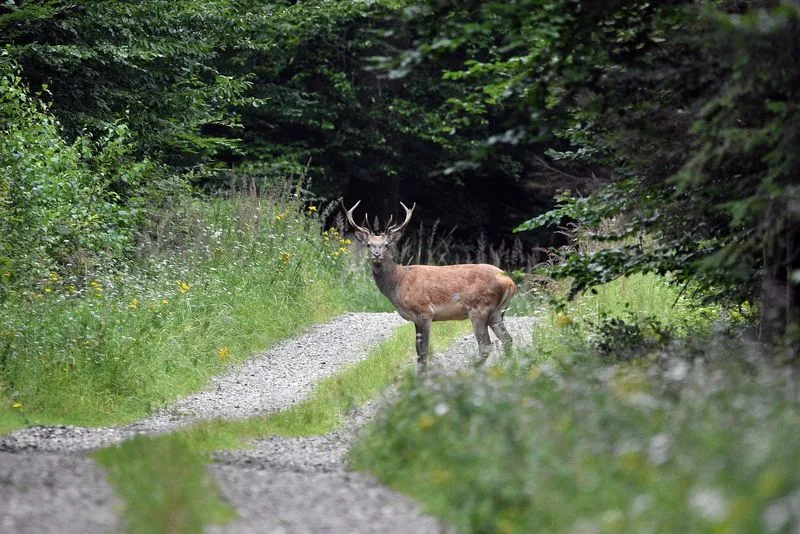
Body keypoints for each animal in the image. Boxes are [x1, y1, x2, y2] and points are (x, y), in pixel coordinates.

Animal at [344, 200, 517, 372]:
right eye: (368, 244)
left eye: (386, 244)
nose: (377, 254)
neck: (398, 283)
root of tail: (510, 282)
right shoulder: (415, 318)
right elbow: (418, 350)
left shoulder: (424, 312)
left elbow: (423, 351)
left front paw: (422, 375)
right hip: (497, 312)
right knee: (507, 339)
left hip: (480, 308)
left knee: (486, 345)